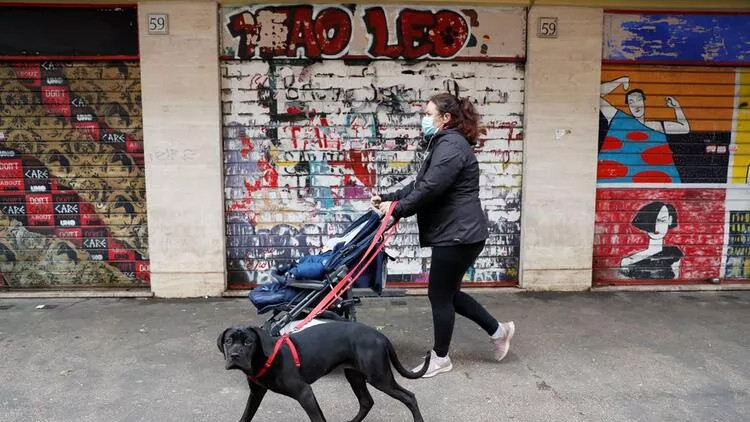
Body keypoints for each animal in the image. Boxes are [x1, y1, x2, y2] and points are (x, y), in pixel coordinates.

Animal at [217, 322, 428, 420]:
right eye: (228, 341)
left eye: (248, 342)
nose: (234, 355)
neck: (265, 358)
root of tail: (380, 335)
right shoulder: (256, 393)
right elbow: (246, 416)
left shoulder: (304, 392)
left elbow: (316, 418)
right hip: (355, 376)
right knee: (366, 402)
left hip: (380, 378)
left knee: (409, 397)